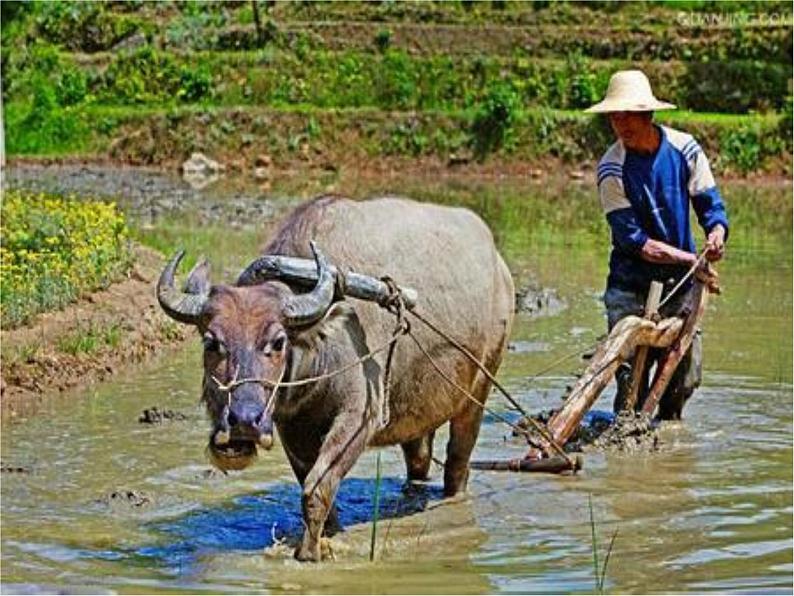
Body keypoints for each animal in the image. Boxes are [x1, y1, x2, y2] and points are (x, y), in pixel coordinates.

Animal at [156, 194, 512, 560]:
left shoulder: (360, 416)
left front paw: (310, 553)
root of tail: (499, 267)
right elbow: (309, 484)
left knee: (457, 462)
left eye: (278, 342)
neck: (316, 351)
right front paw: (327, 535)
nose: (243, 422)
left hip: (478, 393)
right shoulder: (292, 428)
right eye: (211, 342)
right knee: (419, 458)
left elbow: (317, 489)